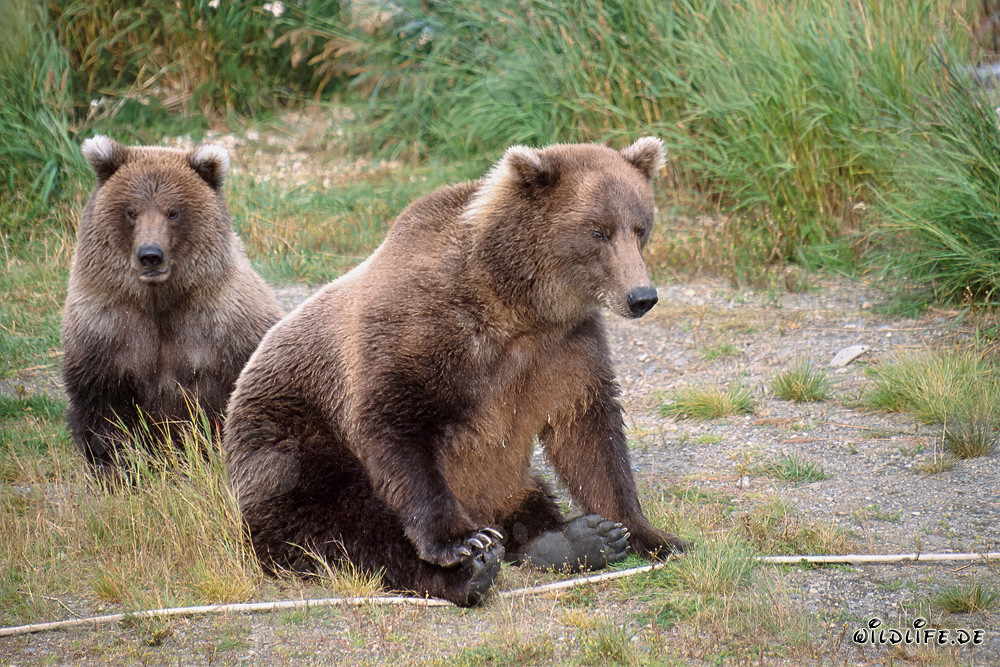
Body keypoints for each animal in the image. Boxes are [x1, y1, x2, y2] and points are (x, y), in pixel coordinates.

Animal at [62, 135, 282, 482]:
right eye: (131, 211)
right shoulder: (106, 331)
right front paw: (116, 469)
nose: (150, 255)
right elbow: (105, 411)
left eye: (173, 212)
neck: (160, 302)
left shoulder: (228, 326)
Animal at [223, 137, 686, 607]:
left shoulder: (564, 350)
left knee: (527, 493)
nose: (641, 296)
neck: (516, 304)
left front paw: (646, 533)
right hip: (291, 443)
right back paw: (470, 573)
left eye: (640, 227)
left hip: (502, 479)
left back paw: (574, 540)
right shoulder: (423, 332)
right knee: (346, 524)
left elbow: (590, 432)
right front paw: (462, 542)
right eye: (598, 231)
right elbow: (399, 429)